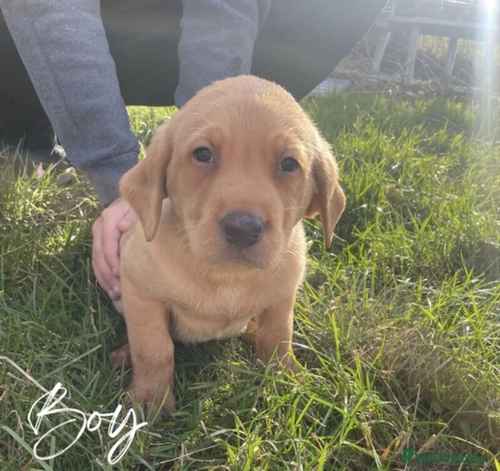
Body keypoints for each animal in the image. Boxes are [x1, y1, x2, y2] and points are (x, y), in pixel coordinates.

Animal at [115, 75, 346, 412]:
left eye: (289, 164)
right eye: (202, 154)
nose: (242, 228)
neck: (228, 276)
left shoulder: (283, 297)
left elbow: (279, 336)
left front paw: (284, 378)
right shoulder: (140, 291)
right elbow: (154, 348)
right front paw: (150, 399)